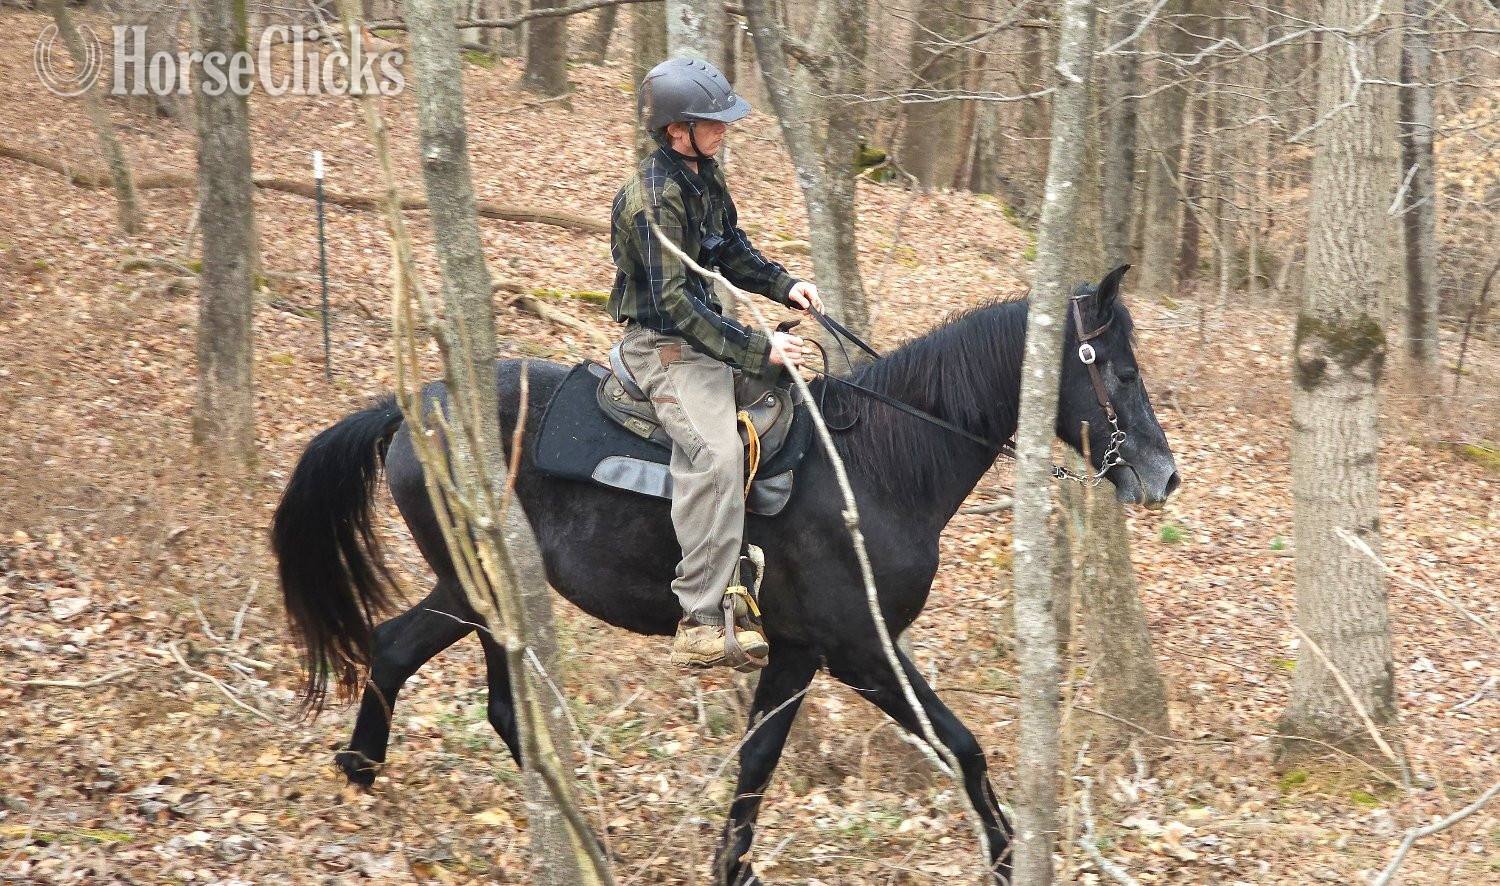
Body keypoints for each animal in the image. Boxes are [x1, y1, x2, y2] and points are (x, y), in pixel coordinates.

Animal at [270, 265, 1180, 884]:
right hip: (479, 585)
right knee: (448, 674)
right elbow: (963, 749)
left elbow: (758, 761)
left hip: (479, 589)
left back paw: (376, 773)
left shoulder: (799, 652)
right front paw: (1004, 858)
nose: (1164, 476)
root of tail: (411, 407)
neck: (879, 467)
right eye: (1120, 372)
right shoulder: (860, 649)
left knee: (415, 658)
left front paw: (733, 867)